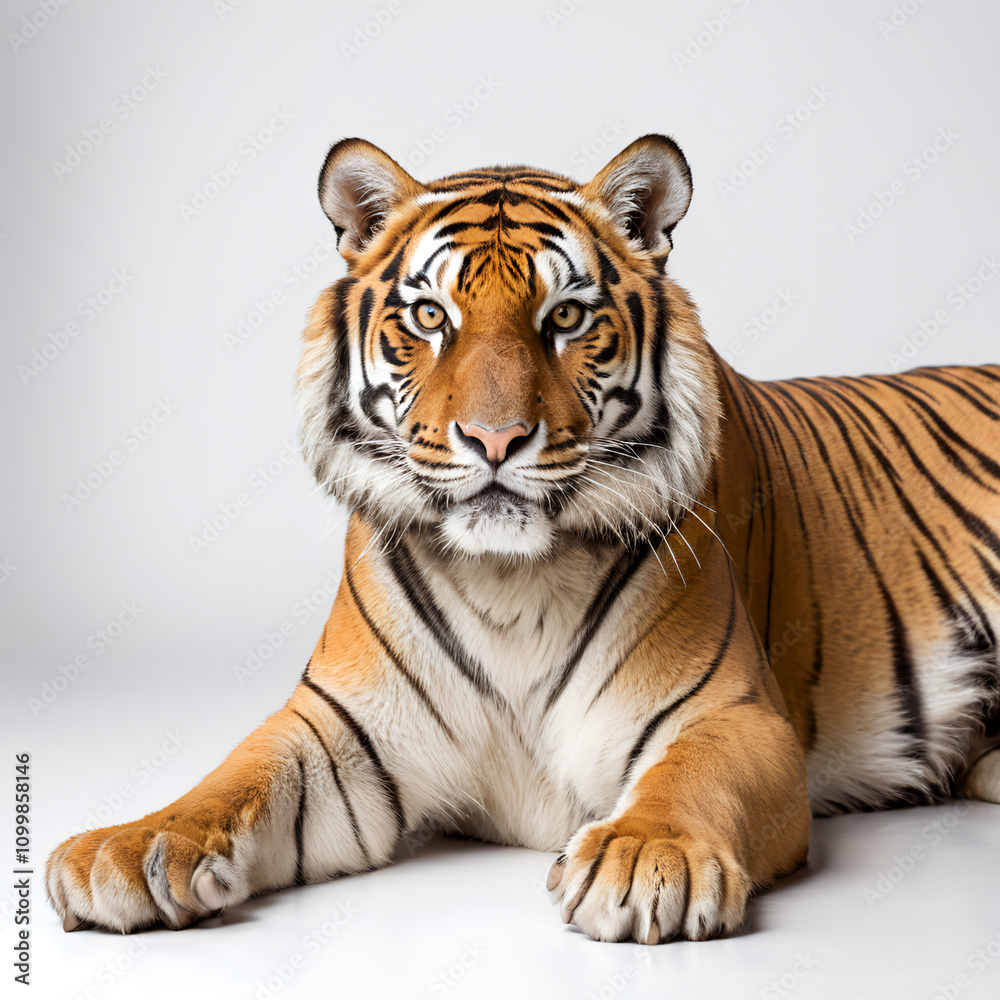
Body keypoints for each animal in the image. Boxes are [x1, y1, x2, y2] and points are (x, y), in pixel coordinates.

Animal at [46, 134, 1000, 944]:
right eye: (430, 317)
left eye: (567, 318)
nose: (494, 439)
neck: (509, 582)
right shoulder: (338, 732)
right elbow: (234, 778)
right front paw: (128, 848)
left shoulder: (729, 712)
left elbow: (690, 779)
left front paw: (646, 858)